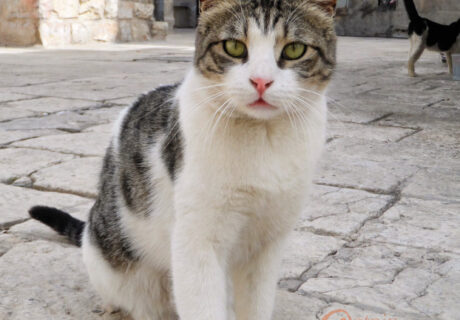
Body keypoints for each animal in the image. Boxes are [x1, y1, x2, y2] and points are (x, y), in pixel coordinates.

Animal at [29, 1, 338, 318]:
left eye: (294, 50)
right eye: (234, 47)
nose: (261, 81)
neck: (263, 138)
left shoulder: (267, 243)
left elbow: (257, 305)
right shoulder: (196, 239)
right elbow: (203, 306)